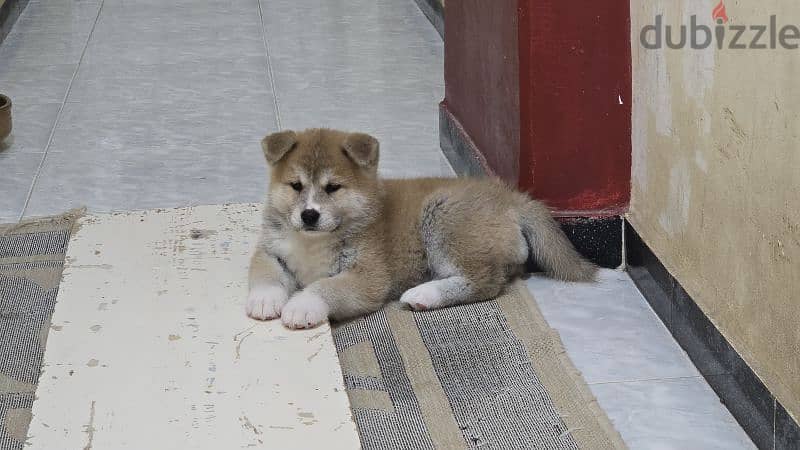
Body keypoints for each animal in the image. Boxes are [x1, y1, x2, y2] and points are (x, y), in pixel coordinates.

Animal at [247, 128, 596, 328]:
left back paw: (425, 294)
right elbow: (265, 273)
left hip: (441, 216)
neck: (314, 241)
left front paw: (301, 306)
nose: (309, 215)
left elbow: (325, 287)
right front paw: (265, 300)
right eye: (295, 185)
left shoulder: (369, 276)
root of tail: (509, 197)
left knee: (484, 282)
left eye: (333, 188)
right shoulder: (270, 249)